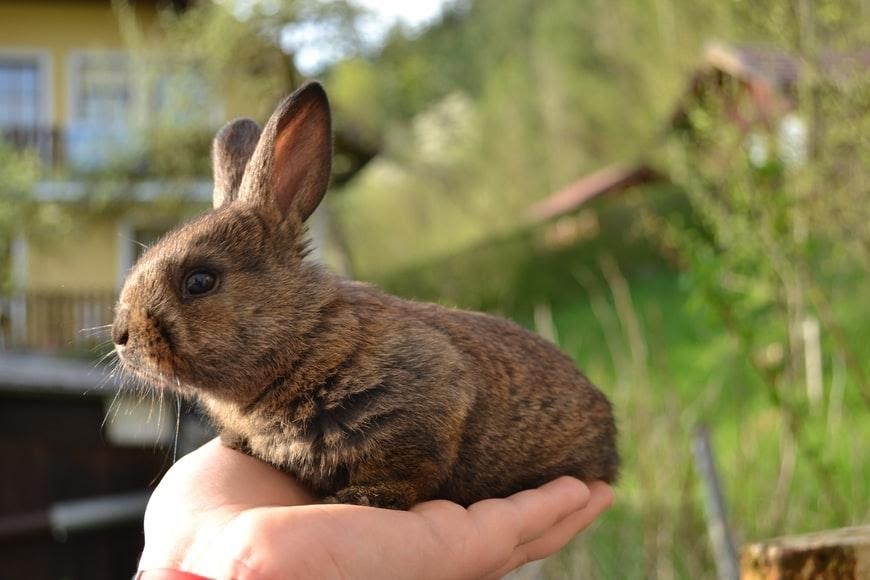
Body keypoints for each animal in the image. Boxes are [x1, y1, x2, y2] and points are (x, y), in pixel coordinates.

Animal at [112, 81, 619, 510]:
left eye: (200, 281)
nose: (120, 336)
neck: (304, 336)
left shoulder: (424, 414)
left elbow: (406, 472)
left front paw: (357, 499)